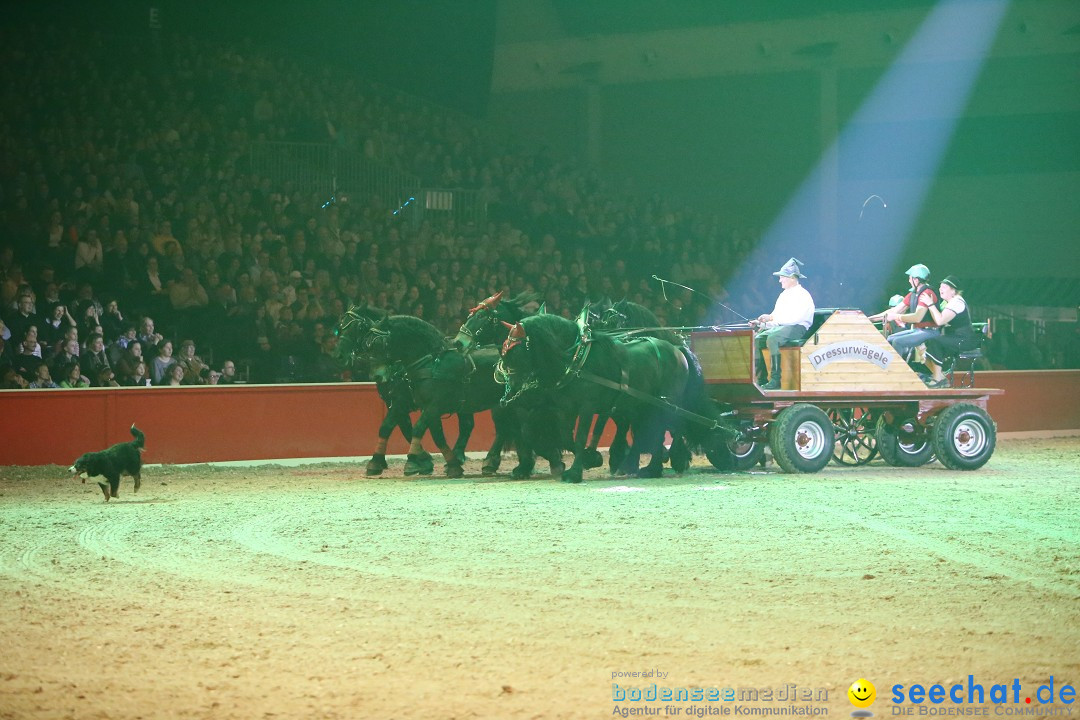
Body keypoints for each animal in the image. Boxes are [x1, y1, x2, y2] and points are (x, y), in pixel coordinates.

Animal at [496, 313, 691, 483]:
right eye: (503, 351)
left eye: (516, 351)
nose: (510, 386)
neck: (576, 360)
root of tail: (677, 350)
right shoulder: (565, 408)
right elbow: (566, 437)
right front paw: (591, 458)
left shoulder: (587, 407)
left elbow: (581, 436)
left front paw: (575, 473)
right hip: (644, 405)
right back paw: (652, 468)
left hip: (667, 403)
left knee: (670, 428)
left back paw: (666, 462)